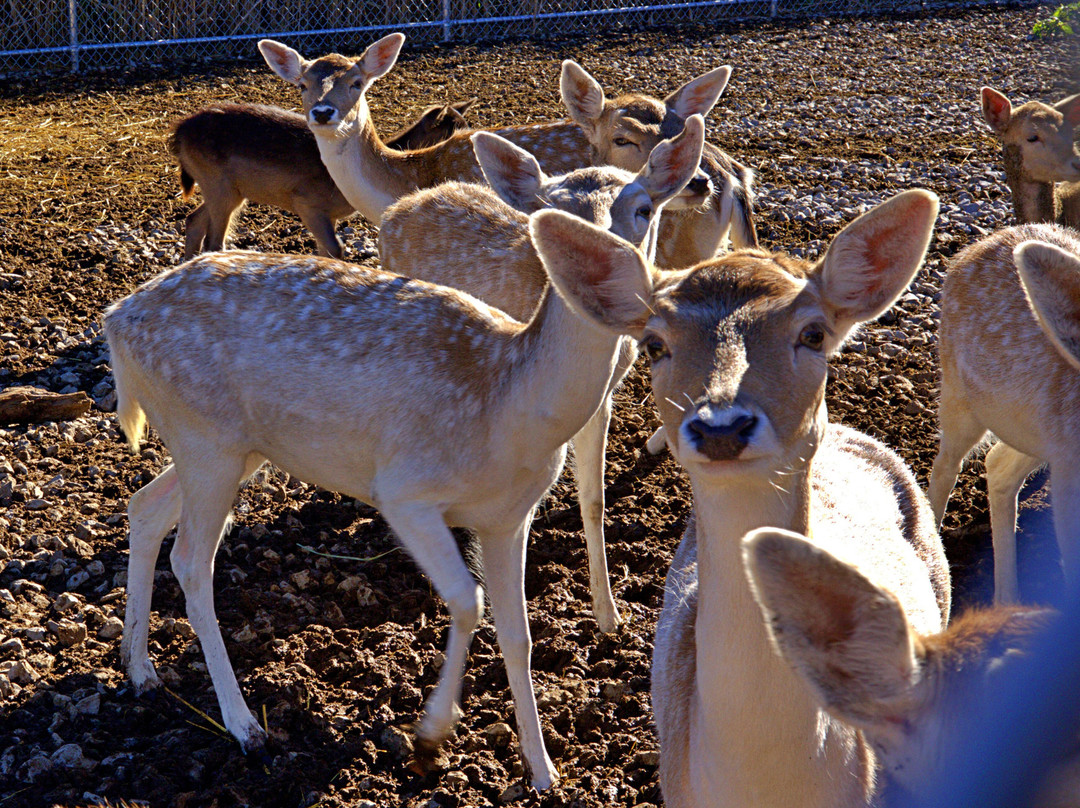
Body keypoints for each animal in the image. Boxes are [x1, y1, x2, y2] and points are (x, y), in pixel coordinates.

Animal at [104, 199, 700, 789]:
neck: (510, 408)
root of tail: (115, 321)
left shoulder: (509, 518)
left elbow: (520, 636)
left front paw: (544, 771)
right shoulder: (404, 490)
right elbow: (466, 598)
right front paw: (430, 734)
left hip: (230, 447)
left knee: (144, 507)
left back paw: (140, 670)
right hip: (206, 440)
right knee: (190, 560)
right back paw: (245, 726)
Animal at [168, 98, 475, 260]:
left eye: (467, 123)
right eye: (452, 130)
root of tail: (178, 134)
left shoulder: (331, 214)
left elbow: (324, 251)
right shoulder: (307, 202)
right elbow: (337, 250)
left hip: (226, 189)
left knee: (193, 220)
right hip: (219, 185)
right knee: (213, 242)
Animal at [257, 33, 757, 269]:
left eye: (357, 82)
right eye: (301, 84)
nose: (323, 112)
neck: (405, 180)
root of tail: (735, 176)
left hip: (683, 246)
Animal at [378, 116, 706, 632]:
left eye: (643, 208)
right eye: (550, 209)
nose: (596, 255)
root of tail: (396, 209)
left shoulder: (602, 396)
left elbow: (593, 498)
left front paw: (608, 615)